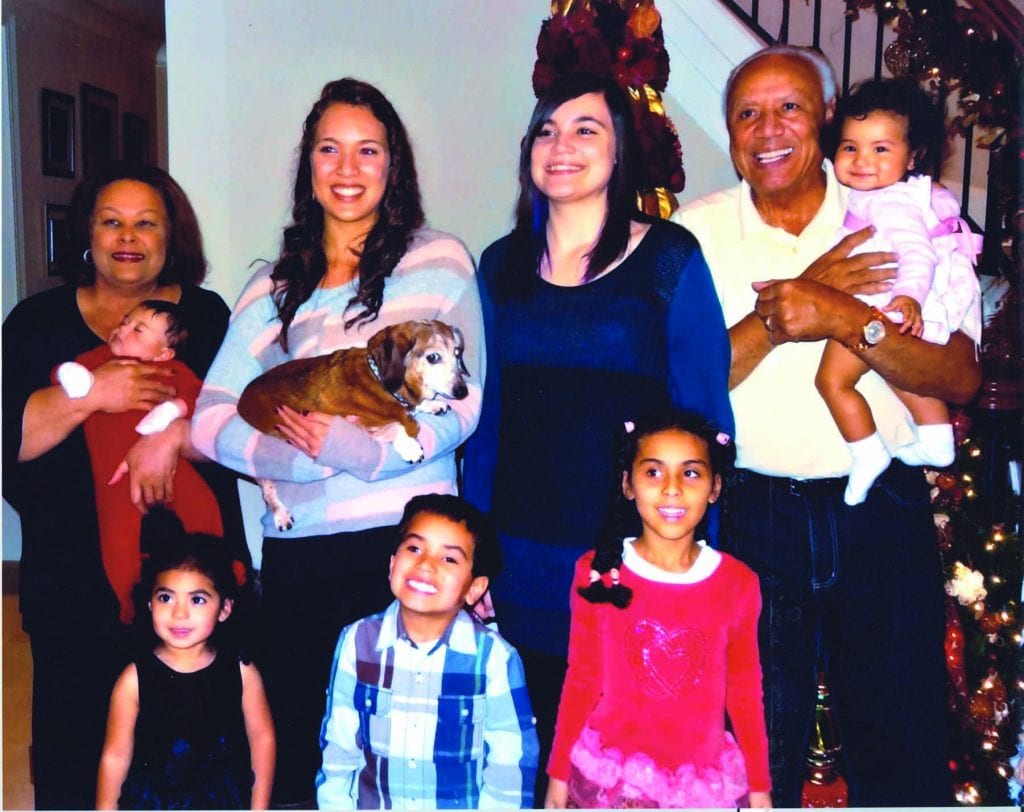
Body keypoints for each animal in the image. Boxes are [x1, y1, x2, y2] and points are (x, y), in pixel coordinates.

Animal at [237, 317, 466, 524]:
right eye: (433, 357)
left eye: (457, 353)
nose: (462, 391)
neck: (379, 381)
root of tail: (242, 401)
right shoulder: (351, 421)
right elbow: (395, 426)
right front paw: (410, 446)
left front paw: (431, 404)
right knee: (267, 491)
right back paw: (280, 515)